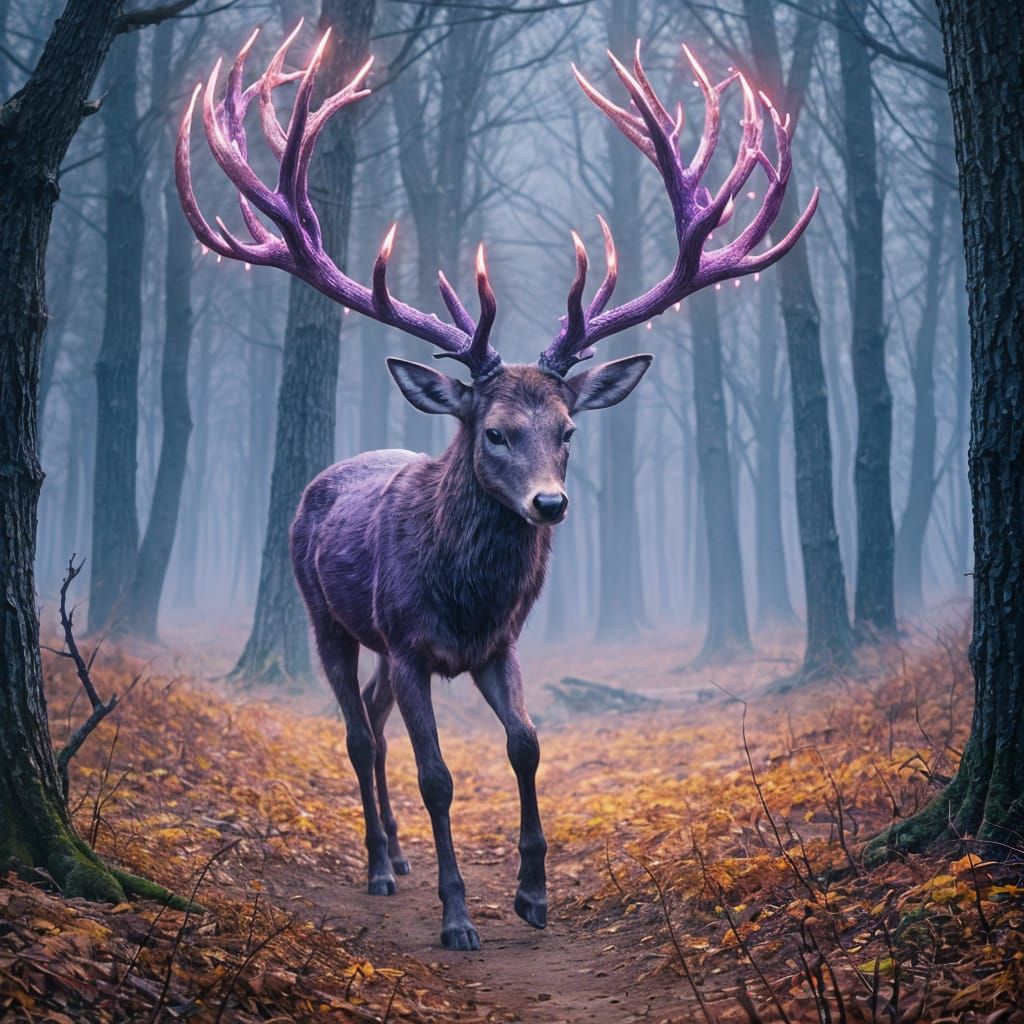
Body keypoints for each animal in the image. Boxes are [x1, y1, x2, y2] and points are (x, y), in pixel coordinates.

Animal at [175, 24, 817, 951]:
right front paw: (458, 917)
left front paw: (533, 894)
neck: (466, 597)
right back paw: (380, 865)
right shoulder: (411, 641)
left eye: (569, 431)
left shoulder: (498, 644)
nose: (550, 503)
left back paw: (399, 854)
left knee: (372, 719)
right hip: (325, 614)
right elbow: (438, 775)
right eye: (494, 432)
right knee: (359, 736)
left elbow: (527, 745)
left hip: (376, 642)